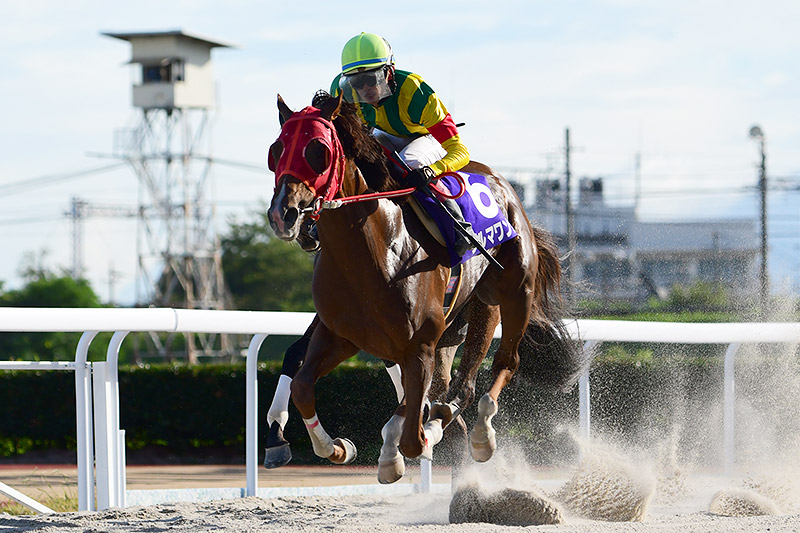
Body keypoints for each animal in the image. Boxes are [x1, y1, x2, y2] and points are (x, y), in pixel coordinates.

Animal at [268, 91, 588, 482]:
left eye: (319, 150)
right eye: (275, 150)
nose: (284, 214)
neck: (374, 253)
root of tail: (501, 182)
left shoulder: (418, 344)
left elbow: (412, 435)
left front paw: (402, 446)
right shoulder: (341, 335)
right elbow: (302, 385)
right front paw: (339, 447)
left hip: (509, 296)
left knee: (492, 372)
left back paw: (478, 433)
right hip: (455, 326)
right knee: (445, 389)